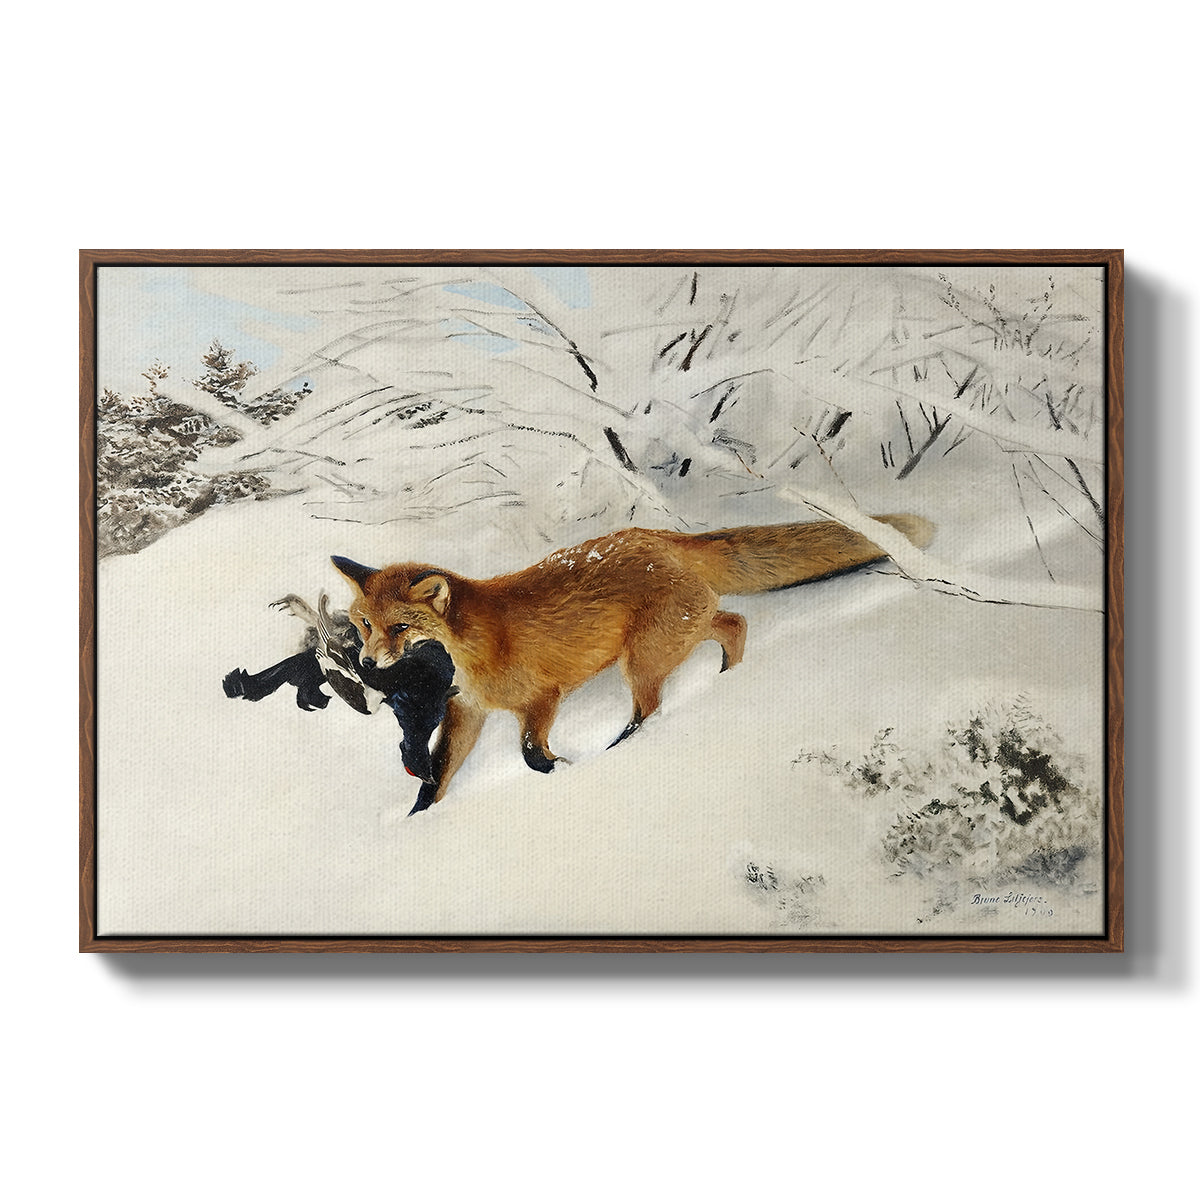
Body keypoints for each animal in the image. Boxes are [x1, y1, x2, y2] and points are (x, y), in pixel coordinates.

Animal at [332, 514, 933, 814]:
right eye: (364, 623)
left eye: (399, 628)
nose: (367, 661)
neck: (473, 648)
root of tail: (659, 537)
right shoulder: (468, 712)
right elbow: (437, 778)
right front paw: (417, 821)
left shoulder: (541, 698)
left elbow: (530, 754)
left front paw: (564, 770)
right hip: (677, 635)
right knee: (734, 622)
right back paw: (729, 678)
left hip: (642, 660)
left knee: (653, 707)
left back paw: (625, 747)